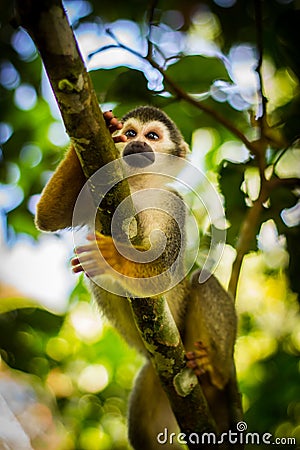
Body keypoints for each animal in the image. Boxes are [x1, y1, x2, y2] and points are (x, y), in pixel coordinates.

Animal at [35, 106, 237, 450]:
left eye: (152, 136)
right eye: (130, 133)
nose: (137, 143)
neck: (135, 185)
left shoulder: (172, 203)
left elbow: (161, 271)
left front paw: (113, 258)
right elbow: (48, 216)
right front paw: (103, 126)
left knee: (202, 280)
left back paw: (214, 367)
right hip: (155, 378)